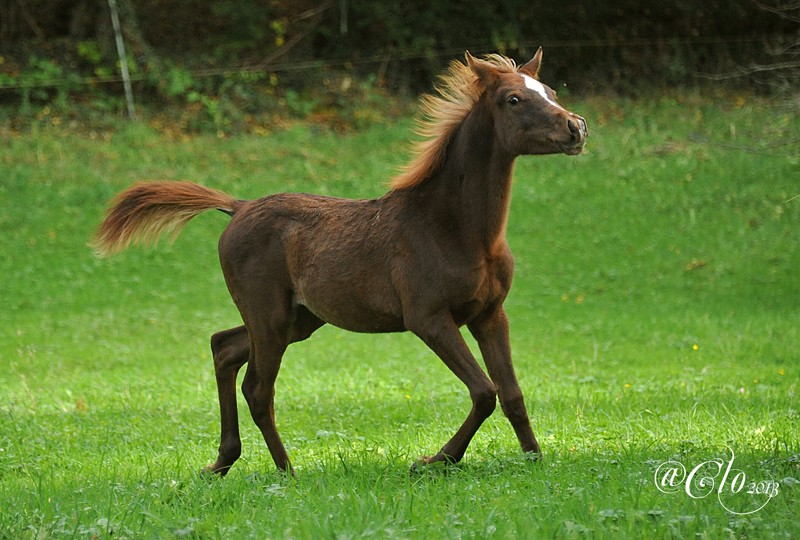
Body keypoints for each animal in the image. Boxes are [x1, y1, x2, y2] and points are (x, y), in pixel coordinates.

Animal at [94, 48, 588, 474]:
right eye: (513, 99)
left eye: (551, 90)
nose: (576, 127)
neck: (456, 229)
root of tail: (238, 207)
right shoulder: (428, 318)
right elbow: (484, 391)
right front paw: (434, 461)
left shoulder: (489, 314)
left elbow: (511, 393)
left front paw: (535, 459)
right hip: (270, 315)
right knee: (257, 387)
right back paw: (286, 472)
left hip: (298, 319)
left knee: (224, 347)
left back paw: (222, 463)